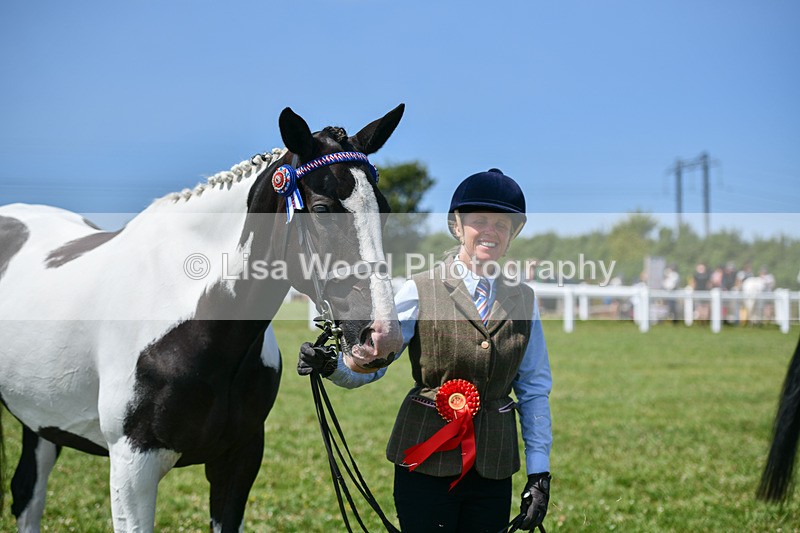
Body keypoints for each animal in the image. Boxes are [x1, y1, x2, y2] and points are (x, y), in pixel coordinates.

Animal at [0, 104, 406, 532]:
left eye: (385, 210)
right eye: (323, 210)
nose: (382, 337)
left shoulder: (239, 459)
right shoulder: (131, 468)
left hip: (41, 420)